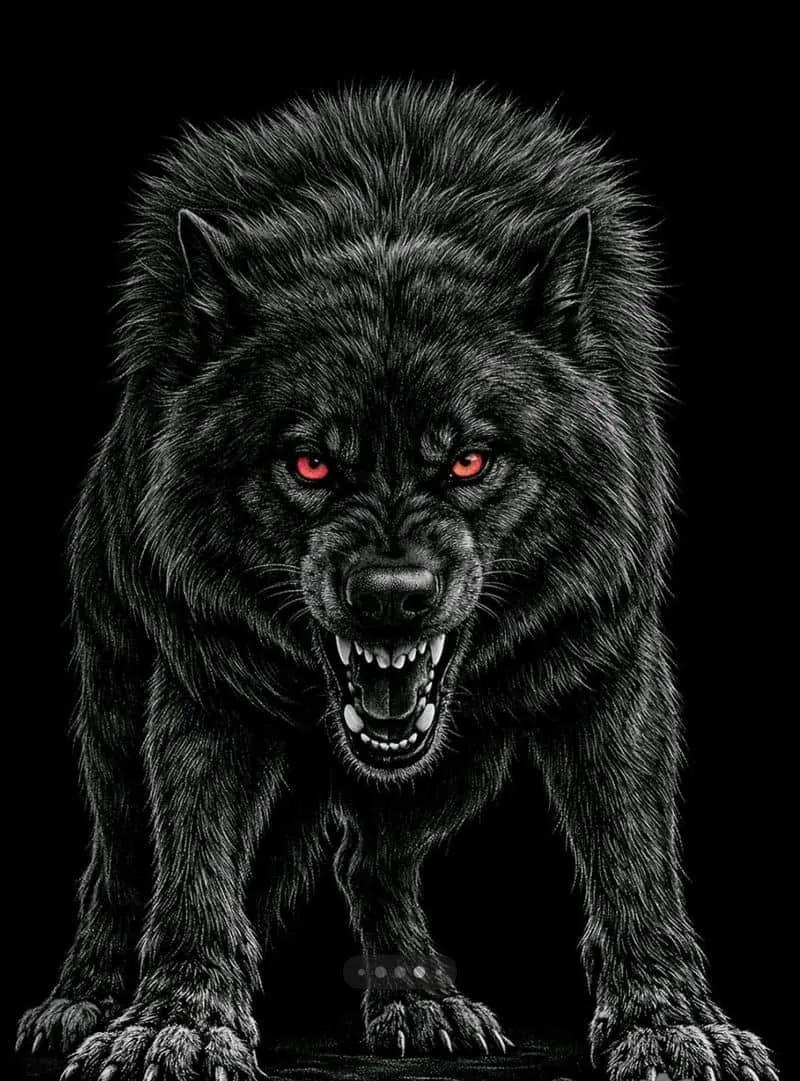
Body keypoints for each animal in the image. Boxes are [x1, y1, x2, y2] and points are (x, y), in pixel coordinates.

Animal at [16, 80, 779, 1081]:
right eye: (309, 463)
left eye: (468, 460)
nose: (390, 594)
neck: (391, 212)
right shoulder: (203, 685)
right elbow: (193, 874)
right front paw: (176, 1021)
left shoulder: (610, 671)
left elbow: (635, 859)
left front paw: (671, 1021)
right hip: (113, 713)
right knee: (118, 866)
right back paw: (81, 999)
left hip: (460, 767)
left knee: (366, 861)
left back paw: (419, 1001)